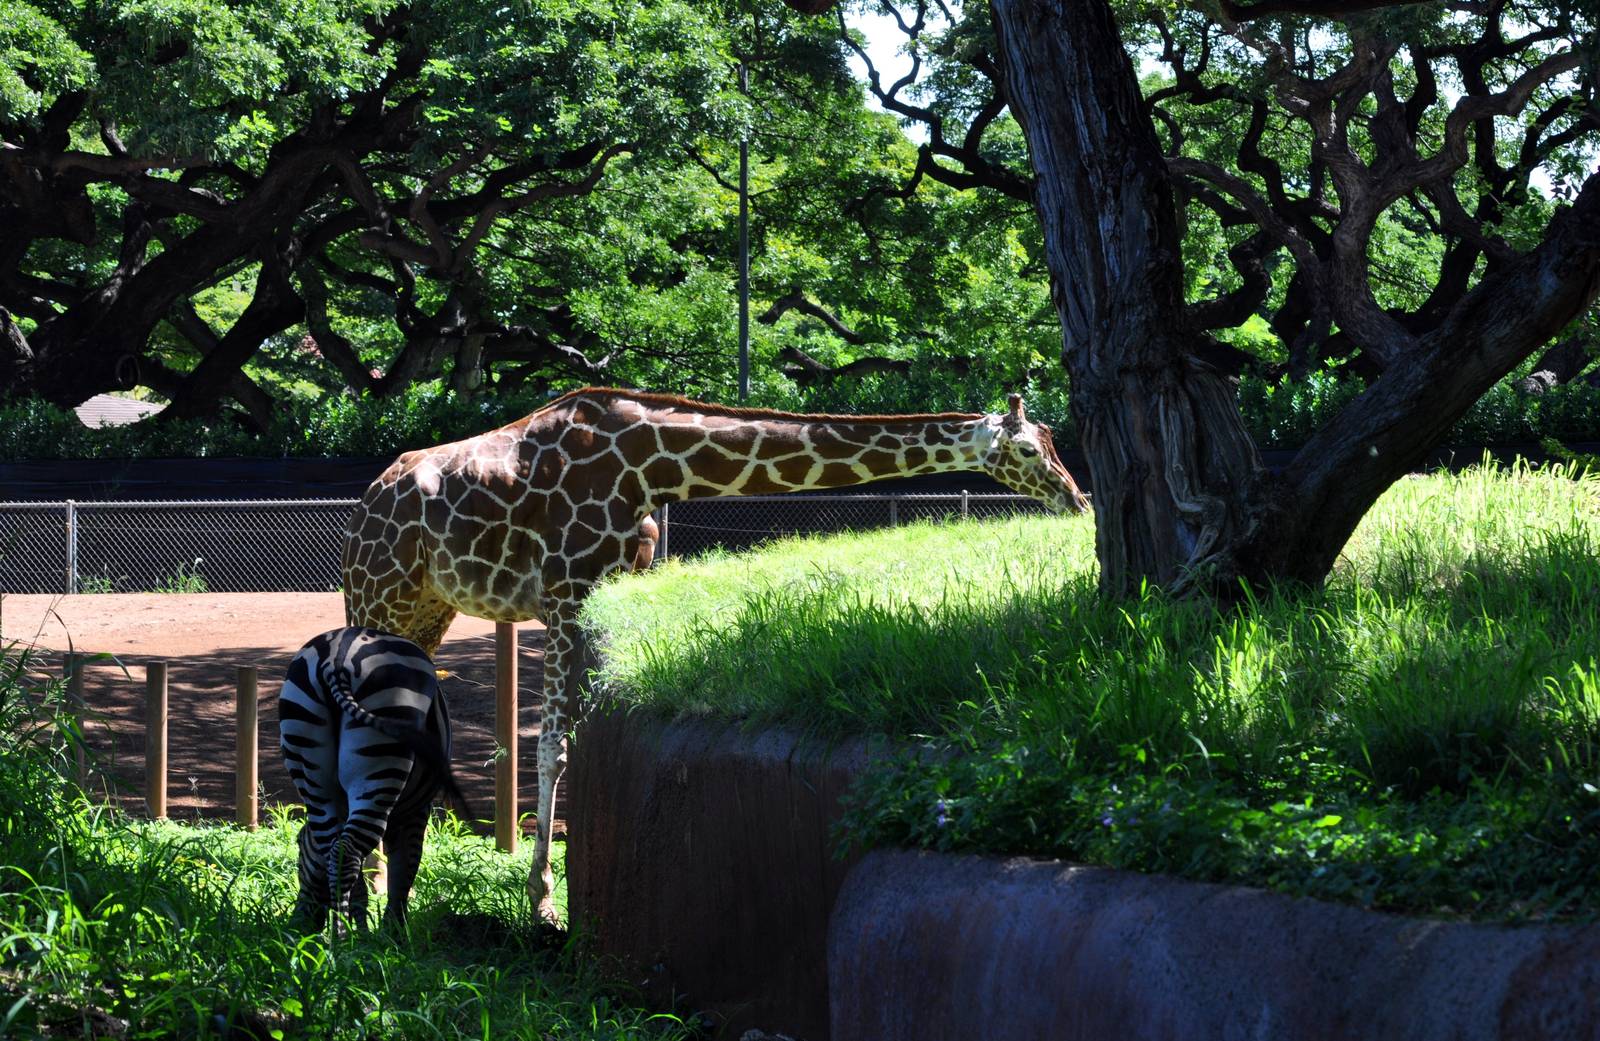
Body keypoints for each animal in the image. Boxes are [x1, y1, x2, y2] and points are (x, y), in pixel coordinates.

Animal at [277, 626, 469, 931]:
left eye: (296, 844)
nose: (297, 927)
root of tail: (336, 658)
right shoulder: (415, 811)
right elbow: (404, 871)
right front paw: (393, 934)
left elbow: (367, 879)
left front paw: (369, 927)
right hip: (382, 761)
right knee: (346, 854)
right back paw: (344, 939)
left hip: (310, 764)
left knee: (334, 851)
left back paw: (344, 936)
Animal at [341, 387, 1091, 921]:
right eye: (1030, 451)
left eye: (1052, 444)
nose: (1078, 498)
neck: (651, 469)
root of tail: (368, 501)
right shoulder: (562, 592)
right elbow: (552, 745)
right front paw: (545, 903)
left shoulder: (607, 590)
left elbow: (579, 733)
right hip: (377, 597)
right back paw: (362, 895)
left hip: (427, 610)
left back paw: (384, 888)